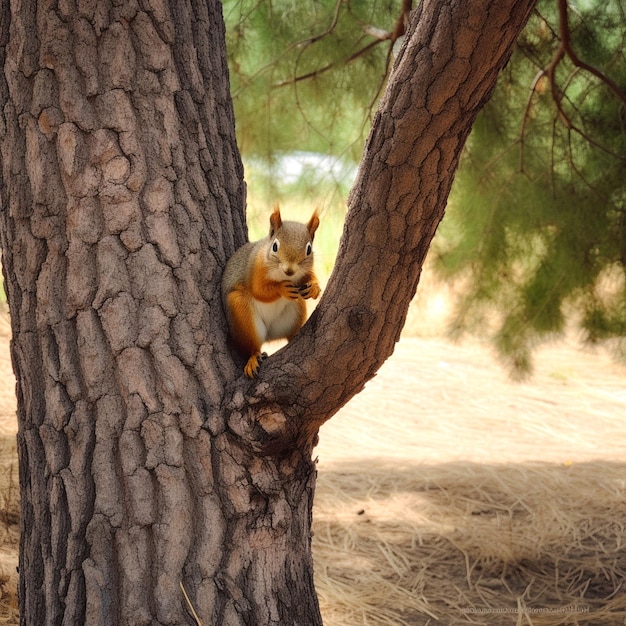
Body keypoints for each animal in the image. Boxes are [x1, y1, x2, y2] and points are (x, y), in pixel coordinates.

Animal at [221, 207, 320, 378]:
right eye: (275, 246)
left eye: (309, 249)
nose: (290, 270)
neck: (284, 276)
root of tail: (269, 335)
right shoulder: (256, 267)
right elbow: (259, 290)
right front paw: (281, 289)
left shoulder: (303, 273)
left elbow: (309, 277)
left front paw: (314, 287)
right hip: (241, 313)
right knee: (252, 346)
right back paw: (253, 358)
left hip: (294, 311)